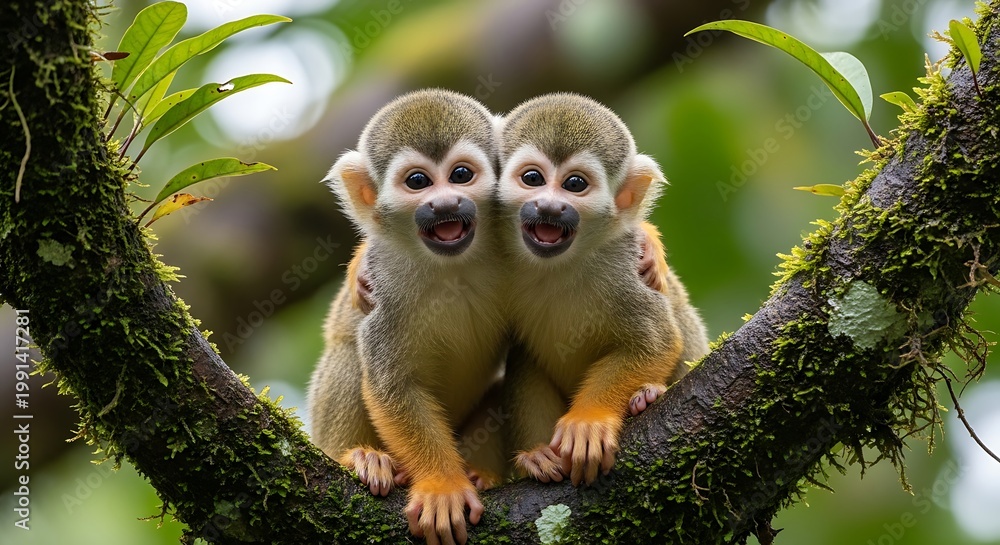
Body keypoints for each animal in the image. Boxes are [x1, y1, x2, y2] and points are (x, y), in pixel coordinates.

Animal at [307, 89, 508, 545]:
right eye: (418, 182)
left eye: (461, 175)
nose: (445, 203)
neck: (453, 266)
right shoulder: (385, 280)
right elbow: (392, 384)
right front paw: (442, 486)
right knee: (350, 354)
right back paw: (362, 459)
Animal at [495, 92, 709, 486]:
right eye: (532, 178)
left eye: (575, 184)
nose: (549, 207)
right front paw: (536, 455)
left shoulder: (622, 264)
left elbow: (655, 342)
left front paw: (589, 421)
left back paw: (647, 396)